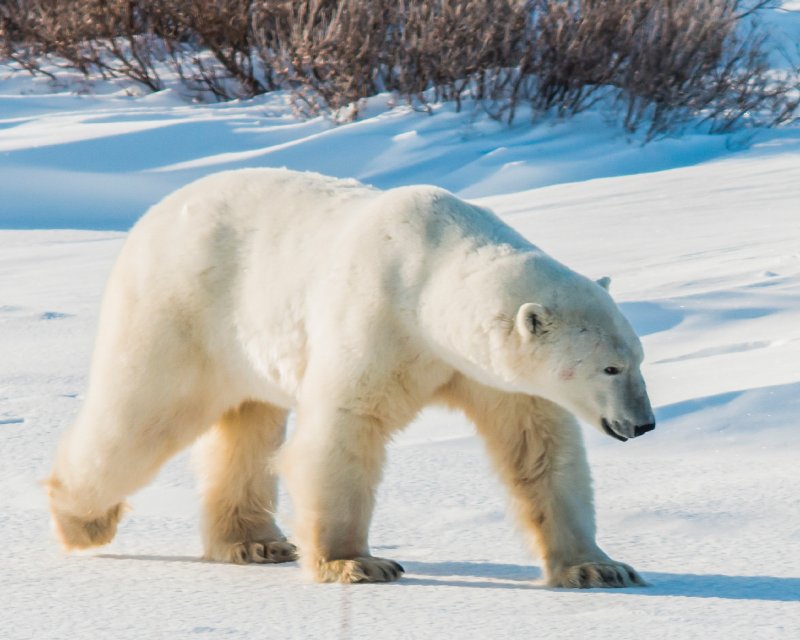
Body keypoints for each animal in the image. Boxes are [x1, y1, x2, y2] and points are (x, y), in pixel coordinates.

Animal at [45, 168, 656, 588]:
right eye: (610, 366)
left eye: (639, 357)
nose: (644, 423)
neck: (429, 281)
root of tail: (151, 216)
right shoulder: (378, 317)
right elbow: (345, 428)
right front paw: (355, 562)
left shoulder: (490, 375)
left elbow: (540, 451)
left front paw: (599, 569)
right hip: (179, 312)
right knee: (143, 416)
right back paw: (81, 519)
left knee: (249, 426)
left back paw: (254, 543)